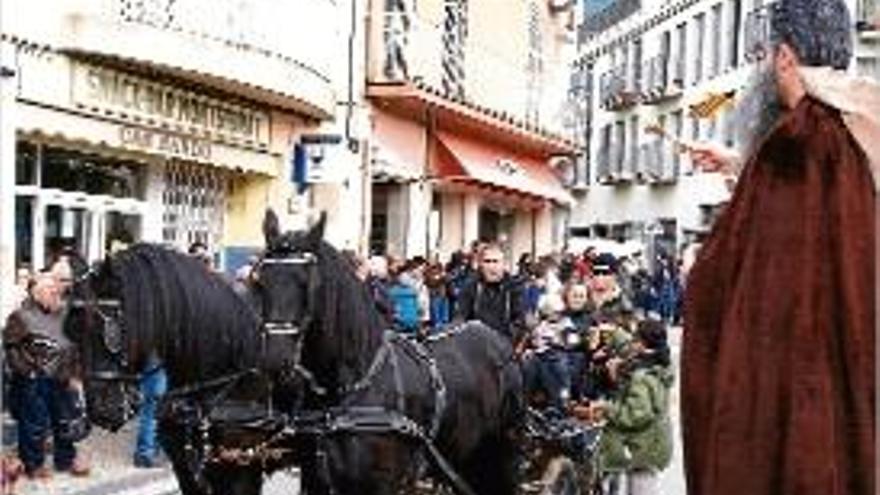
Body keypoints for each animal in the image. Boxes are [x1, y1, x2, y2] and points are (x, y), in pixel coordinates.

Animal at [251, 210, 524, 495]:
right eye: (260, 282)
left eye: (307, 284)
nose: (275, 361)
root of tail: (497, 340)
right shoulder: (316, 481)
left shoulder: (380, 483)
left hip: (504, 451)